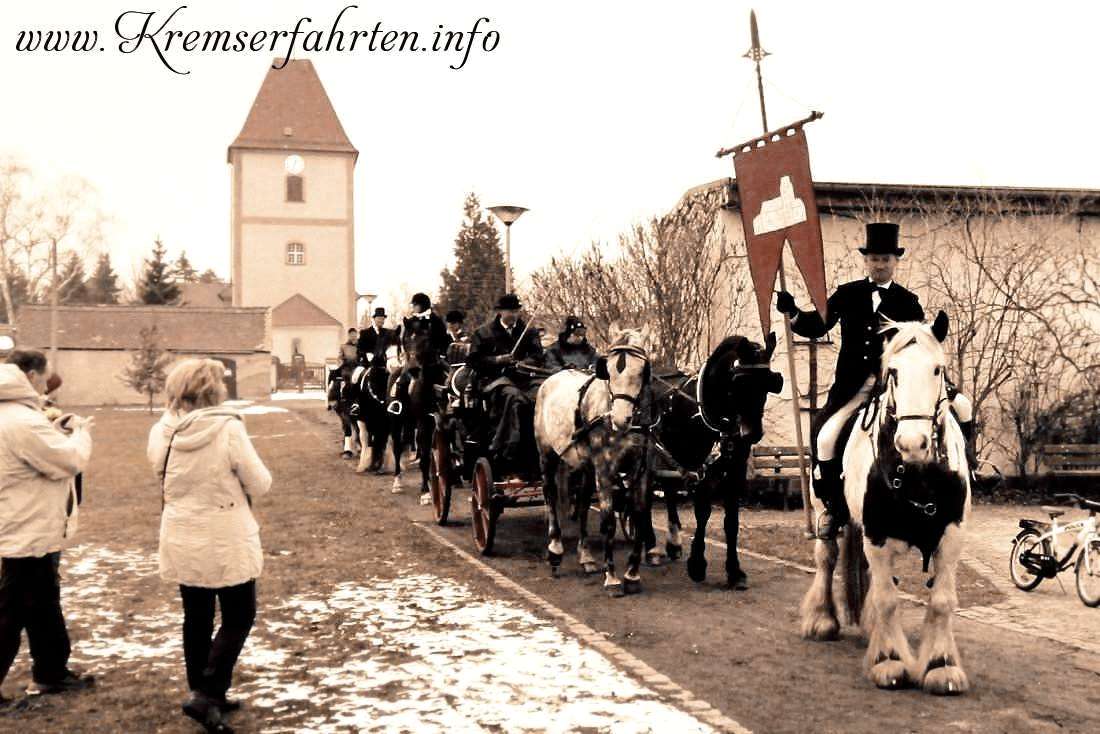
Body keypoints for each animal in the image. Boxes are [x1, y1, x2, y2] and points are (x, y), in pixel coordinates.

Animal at [651, 332, 783, 589]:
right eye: (739, 383)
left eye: (770, 383)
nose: (752, 433)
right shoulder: (699, 470)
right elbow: (703, 512)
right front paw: (697, 564)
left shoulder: (735, 469)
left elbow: (731, 521)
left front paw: (735, 571)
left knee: (669, 492)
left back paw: (673, 543)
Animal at [800, 312, 972, 699]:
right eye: (892, 371)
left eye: (937, 369)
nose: (912, 443)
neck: (918, 474)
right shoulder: (877, 535)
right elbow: (888, 600)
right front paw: (889, 661)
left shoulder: (951, 535)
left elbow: (941, 601)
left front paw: (941, 666)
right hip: (825, 509)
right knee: (826, 557)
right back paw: (821, 619)